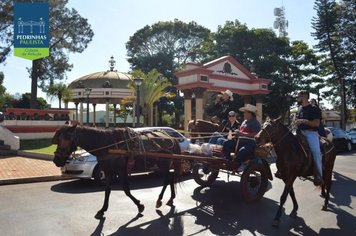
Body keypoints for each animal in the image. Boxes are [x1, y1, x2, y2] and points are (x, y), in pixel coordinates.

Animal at [52, 125, 184, 219]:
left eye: (67, 138)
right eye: (58, 139)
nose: (56, 160)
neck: (107, 144)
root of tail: (172, 137)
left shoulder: (121, 170)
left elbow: (126, 190)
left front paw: (139, 206)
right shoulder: (108, 171)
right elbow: (107, 191)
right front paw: (102, 210)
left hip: (164, 164)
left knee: (167, 179)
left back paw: (160, 200)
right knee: (170, 178)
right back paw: (170, 198)